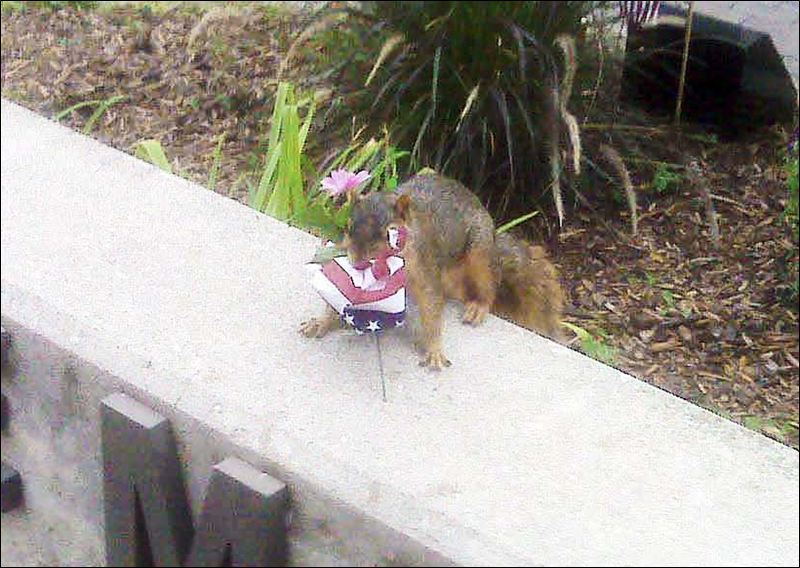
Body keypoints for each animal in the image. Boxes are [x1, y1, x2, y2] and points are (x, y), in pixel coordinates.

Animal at [300, 173, 564, 370]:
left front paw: (435, 350)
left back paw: (478, 307)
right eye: (347, 226)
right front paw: (321, 322)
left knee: (489, 286)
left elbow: (432, 308)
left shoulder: (426, 272)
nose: (357, 261)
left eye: (390, 234)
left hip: (479, 257)